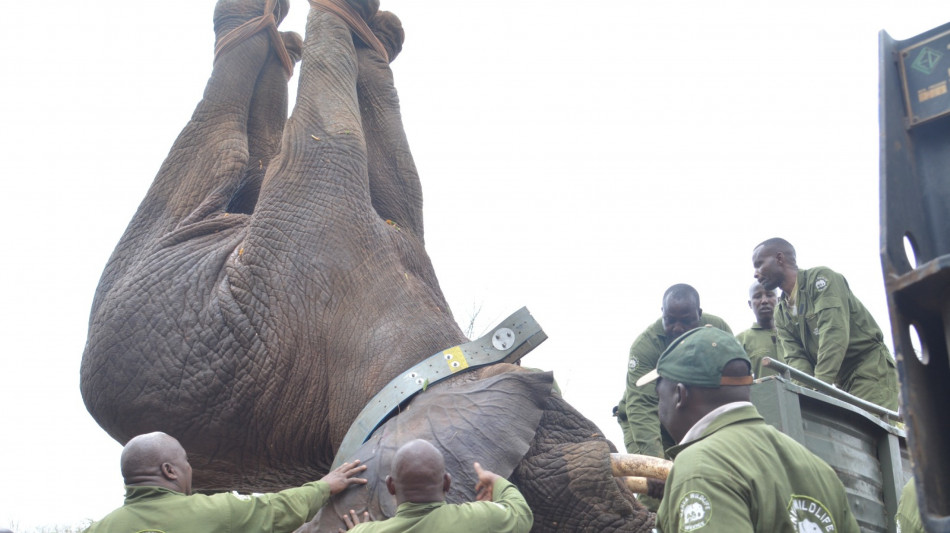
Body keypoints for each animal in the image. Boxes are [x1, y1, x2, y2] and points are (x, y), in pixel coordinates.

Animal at [80, 1, 656, 528]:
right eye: (595, 475)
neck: (427, 369)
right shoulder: (318, 233)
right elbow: (339, 132)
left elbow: (395, 167)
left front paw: (377, 37)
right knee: (224, 139)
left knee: (252, 147)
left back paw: (301, 39)